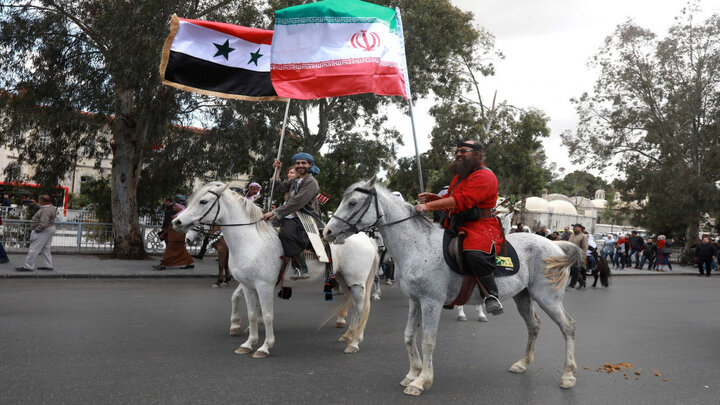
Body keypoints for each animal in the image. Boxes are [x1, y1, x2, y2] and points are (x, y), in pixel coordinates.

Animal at [174, 181, 380, 356]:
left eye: (203, 201)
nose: (176, 223)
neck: (250, 241)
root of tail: (366, 237)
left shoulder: (264, 286)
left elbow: (267, 315)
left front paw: (264, 346)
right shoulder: (248, 286)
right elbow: (250, 312)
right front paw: (248, 342)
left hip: (356, 282)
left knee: (361, 307)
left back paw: (355, 342)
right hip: (344, 280)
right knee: (353, 305)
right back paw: (348, 336)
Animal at [324, 178, 584, 396]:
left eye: (353, 203)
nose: (328, 231)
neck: (417, 246)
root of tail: (556, 246)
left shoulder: (431, 303)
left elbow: (428, 340)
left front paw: (422, 381)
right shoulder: (415, 301)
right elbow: (408, 336)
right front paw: (412, 373)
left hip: (548, 298)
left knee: (569, 327)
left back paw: (568, 374)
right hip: (523, 296)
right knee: (534, 325)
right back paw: (522, 363)